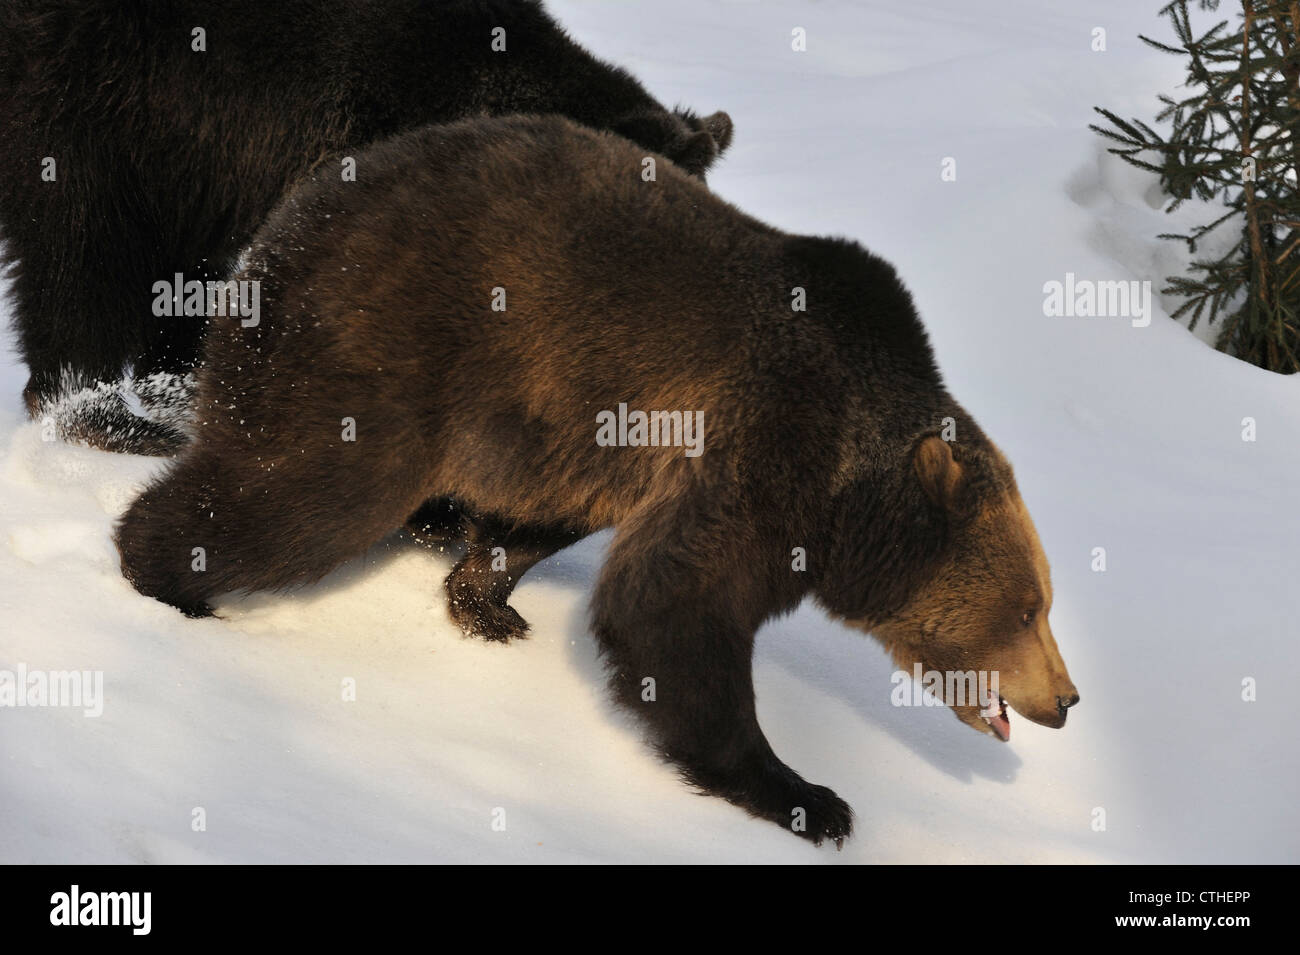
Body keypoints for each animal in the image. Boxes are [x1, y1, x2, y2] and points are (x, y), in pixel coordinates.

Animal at [116, 113, 1081, 852]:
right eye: (1030, 606)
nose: (1066, 699)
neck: (854, 494)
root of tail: (291, 215)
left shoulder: (596, 435)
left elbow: (564, 532)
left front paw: (486, 597)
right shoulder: (771, 435)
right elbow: (673, 600)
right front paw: (808, 795)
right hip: (379, 344)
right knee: (311, 491)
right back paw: (167, 576)